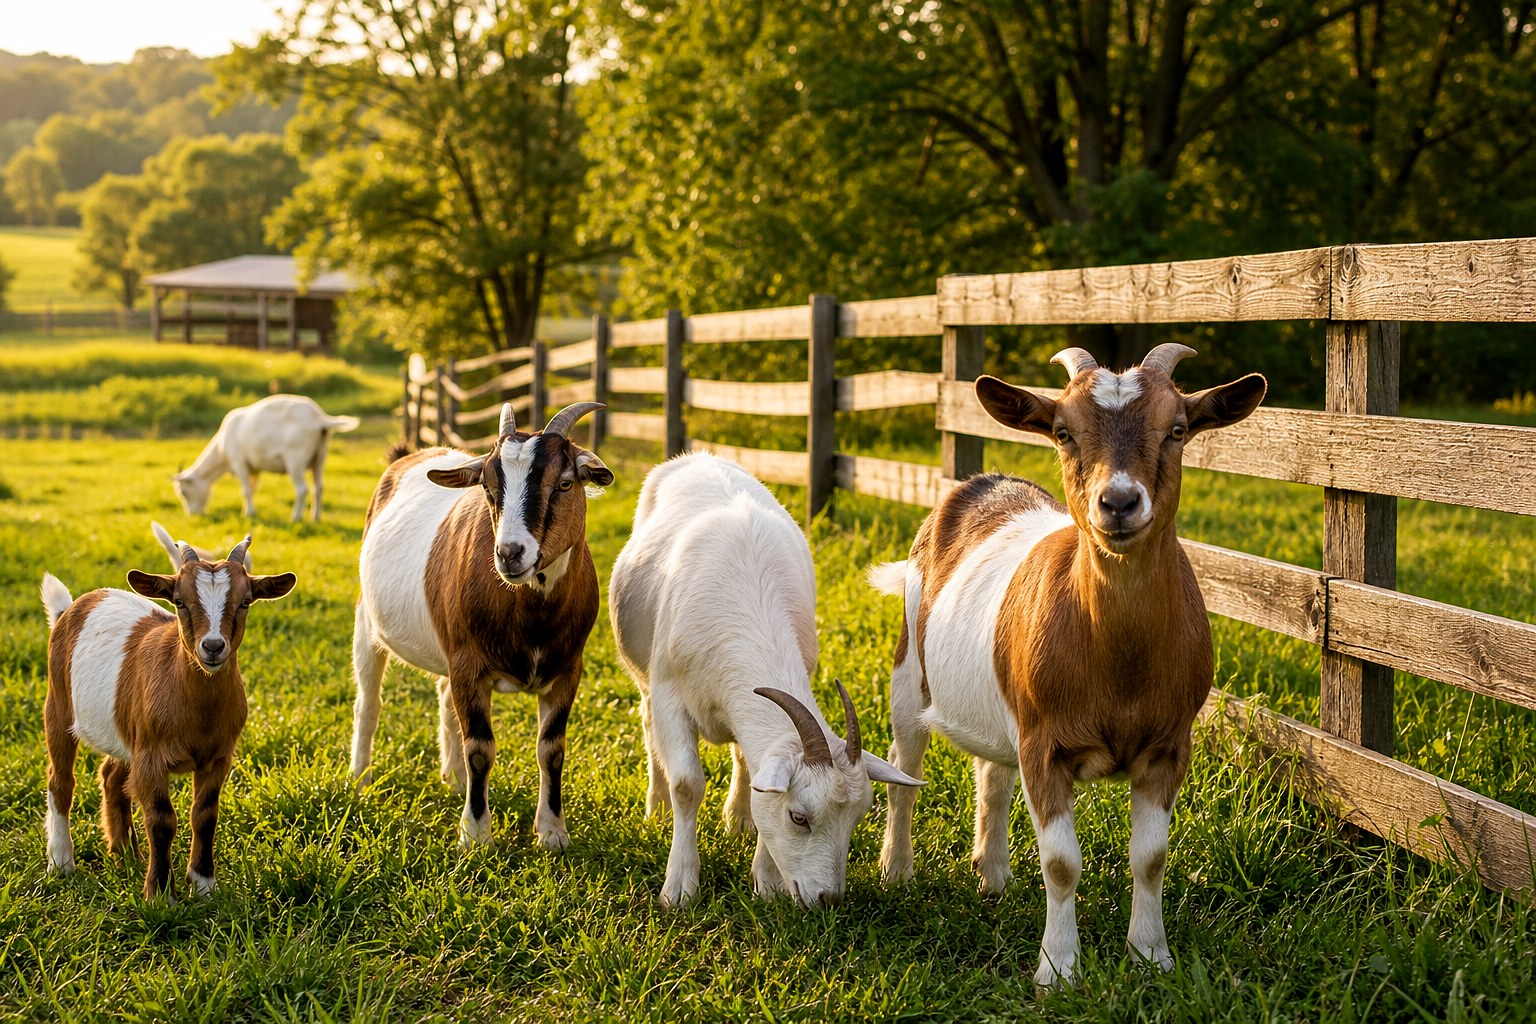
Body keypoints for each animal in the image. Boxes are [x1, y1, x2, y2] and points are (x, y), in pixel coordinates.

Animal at [40, 536, 295, 898]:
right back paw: (62, 862)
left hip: (126, 733)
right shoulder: (151, 756)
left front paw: (203, 883)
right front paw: (160, 893)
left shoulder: (218, 756)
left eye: (245, 601)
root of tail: (72, 607)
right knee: (60, 780)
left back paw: (125, 854)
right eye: (179, 601)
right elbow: (161, 819)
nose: (213, 647)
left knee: (111, 777)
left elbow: (205, 815)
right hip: (58, 704)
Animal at [173, 394, 360, 522]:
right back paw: (315, 518)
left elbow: (245, 491)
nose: (192, 515)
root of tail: (320, 419)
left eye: (184, 492)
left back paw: (296, 517)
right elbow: (252, 489)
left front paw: (248, 513)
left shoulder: (239, 463)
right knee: (319, 488)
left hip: (295, 459)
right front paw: (248, 512)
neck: (221, 449)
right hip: (320, 457)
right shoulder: (254, 468)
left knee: (302, 489)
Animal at [349, 402, 612, 851]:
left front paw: (553, 832)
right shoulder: (469, 665)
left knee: (443, 697)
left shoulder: (568, 669)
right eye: (488, 488)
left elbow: (552, 749)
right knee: (369, 701)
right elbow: (481, 749)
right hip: (368, 621)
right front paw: (474, 835)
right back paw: (360, 779)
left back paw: (454, 779)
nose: (509, 553)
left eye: (564, 483)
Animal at [610, 452, 921, 908]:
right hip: (645, 676)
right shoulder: (670, 695)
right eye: (799, 817)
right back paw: (657, 806)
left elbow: (757, 773)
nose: (828, 899)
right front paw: (680, 887)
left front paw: (767, 882)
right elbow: (687, 785)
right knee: (649, 729)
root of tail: (696, 456)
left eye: (856, 818)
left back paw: (738, 819)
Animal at [871, 344, 1265, 986]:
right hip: (909, 669)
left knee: (993, 775)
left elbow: (1150, 858)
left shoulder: (1169, 745)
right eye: (1063, 432)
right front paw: (1057, 971)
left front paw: (1151, 958)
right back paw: (897, 870)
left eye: (1178, 429)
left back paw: (993, 876)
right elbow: (1061, 864)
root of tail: (982, 482)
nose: (1119, 502)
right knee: (905, 765)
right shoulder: (1045, 743)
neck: (1117, 665)